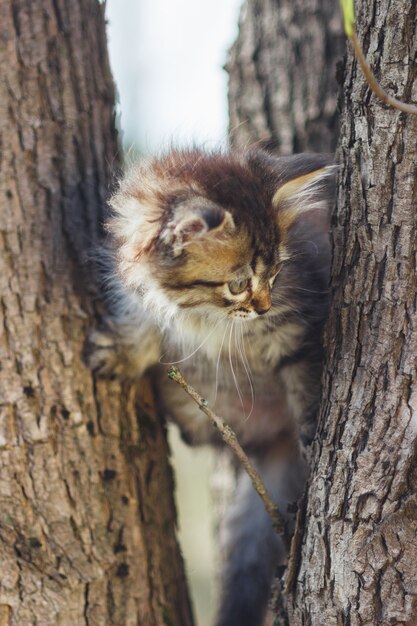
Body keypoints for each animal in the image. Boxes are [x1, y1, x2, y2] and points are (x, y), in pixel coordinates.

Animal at [86, 147, 334, 624]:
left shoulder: (298, 328)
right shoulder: (142, 294)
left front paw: (314, 433)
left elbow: (307, 385)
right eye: (238, 284)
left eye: (277, 272)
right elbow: (148, 326)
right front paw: (123, 352)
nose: (263, 306)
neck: (204, 314)